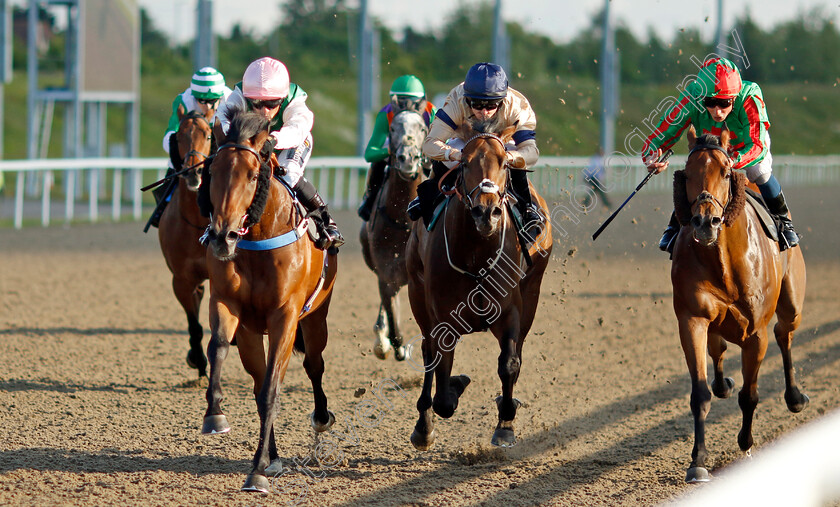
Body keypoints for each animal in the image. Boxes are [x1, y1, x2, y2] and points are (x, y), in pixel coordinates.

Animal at [200, 106, 338, 492]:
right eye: (212, 171)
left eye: (251, 175)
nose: (222, 236)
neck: (259, 236)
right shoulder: (228, 305)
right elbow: (218, 348)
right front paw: (215, 415)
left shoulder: (285, 318)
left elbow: (273, 390)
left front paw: (257, 472)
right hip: (251, 334)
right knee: (257, 383)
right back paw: (271, 457)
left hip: (316, 318)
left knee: (314, 365)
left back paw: (320, 418)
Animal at [358, 112, 430, 366]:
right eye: (392, 128)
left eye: (422, 128)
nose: (407, 158)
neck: (404, 218)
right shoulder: (387, 273)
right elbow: (392, 313)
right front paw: (395, 346)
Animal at [406, 121, 556, 450]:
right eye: (464, 163)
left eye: (505, 163)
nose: (486, 212)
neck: (476, 253)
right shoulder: (443, 317)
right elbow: (442, 388)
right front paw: (455, 387)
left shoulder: (511, 310)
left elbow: (510, 363)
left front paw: (506, 423)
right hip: (416, 293)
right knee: (427, 354)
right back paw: (423, 425)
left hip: (533, 289)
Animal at [668, 127, 808, 484]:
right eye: (687, 173)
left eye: (725, 172)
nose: (705, 222)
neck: (724, 263)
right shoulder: (692, 319)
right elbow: (700, 394)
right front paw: (698, 461)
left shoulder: (756, 333)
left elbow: (751, 394)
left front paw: (745, 442)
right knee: (718, 351)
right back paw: (724, 384)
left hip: (792, 304)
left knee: (784, 333)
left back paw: (794, 397)